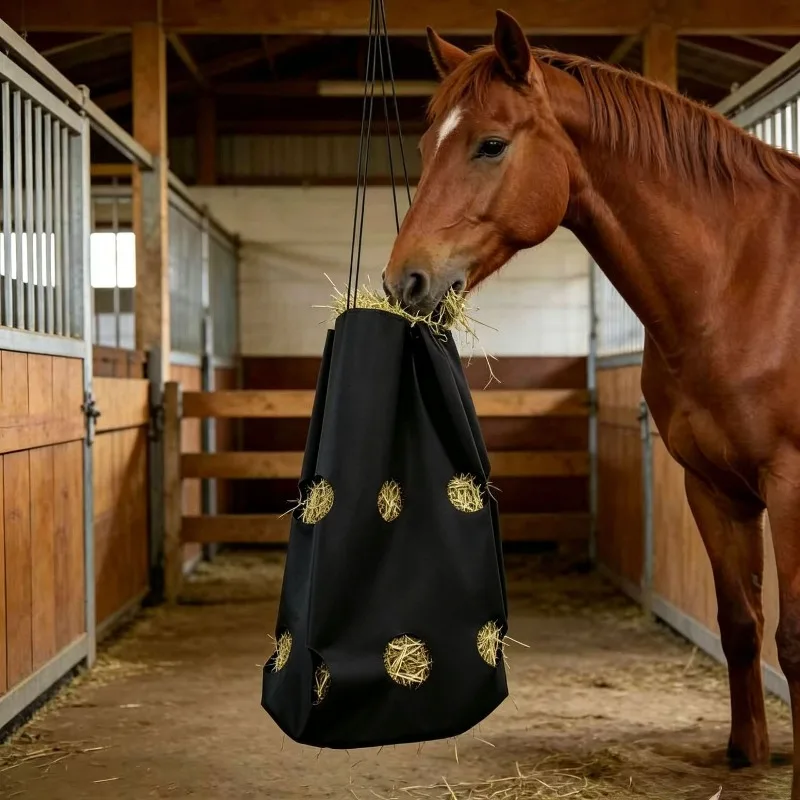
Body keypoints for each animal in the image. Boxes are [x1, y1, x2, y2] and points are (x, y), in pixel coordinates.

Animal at [383, 9, 800, 798]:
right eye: (424, 146)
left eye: (491, 144)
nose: (404, 282)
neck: (744, 277)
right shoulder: (713, 488)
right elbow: (739, 623)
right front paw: (748, 753)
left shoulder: (792, 486)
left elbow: (792, 639)